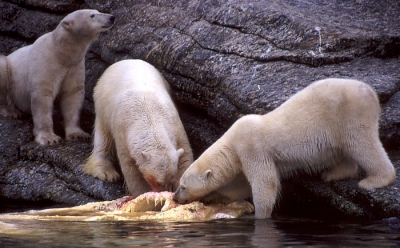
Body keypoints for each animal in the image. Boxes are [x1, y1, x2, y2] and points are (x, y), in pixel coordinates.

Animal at [0, 9, 115, 145]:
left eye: (97, 11)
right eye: (92, 15)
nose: (111, 17)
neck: (60, 52)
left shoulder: (74, 66)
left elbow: (72, 95)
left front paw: (78, 134)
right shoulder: (46, 63)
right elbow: (43, 96)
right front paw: (49, 138)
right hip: (9, 71)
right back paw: (10, 112)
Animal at [82, 59, 193, 197]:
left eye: (171, 179)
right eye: (158, 182)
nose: (163, 191)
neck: (149, 117)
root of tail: (127, 60)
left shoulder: (175, 124)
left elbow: (185, 156)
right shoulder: (123, 132)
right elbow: (131, 170)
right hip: (102, 104)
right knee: (103, 137)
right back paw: (105, 172)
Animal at [173, 78, 396, 219]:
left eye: (183, 185)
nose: (175, 196)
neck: (231, 142)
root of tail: (371, 92)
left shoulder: (252, 147)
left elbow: (265, 182)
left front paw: (260, 215)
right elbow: (239, 186)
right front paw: (213, 196)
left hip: (350, 114)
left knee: (362, 144)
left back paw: (374, 180)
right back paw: (332, 173)